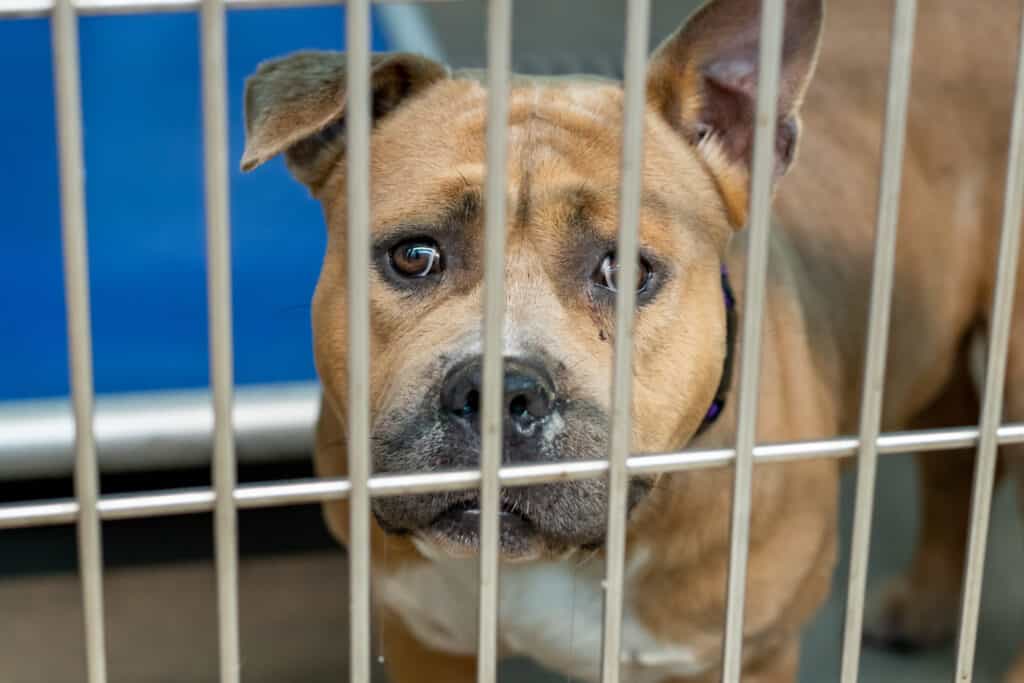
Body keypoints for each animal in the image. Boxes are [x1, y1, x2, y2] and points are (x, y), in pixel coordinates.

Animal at [237, 0, 1024, 679]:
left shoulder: (749, 653)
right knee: (957, 447)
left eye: (626, 270)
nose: (498, 388)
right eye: (414, 256)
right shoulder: (426, 637)